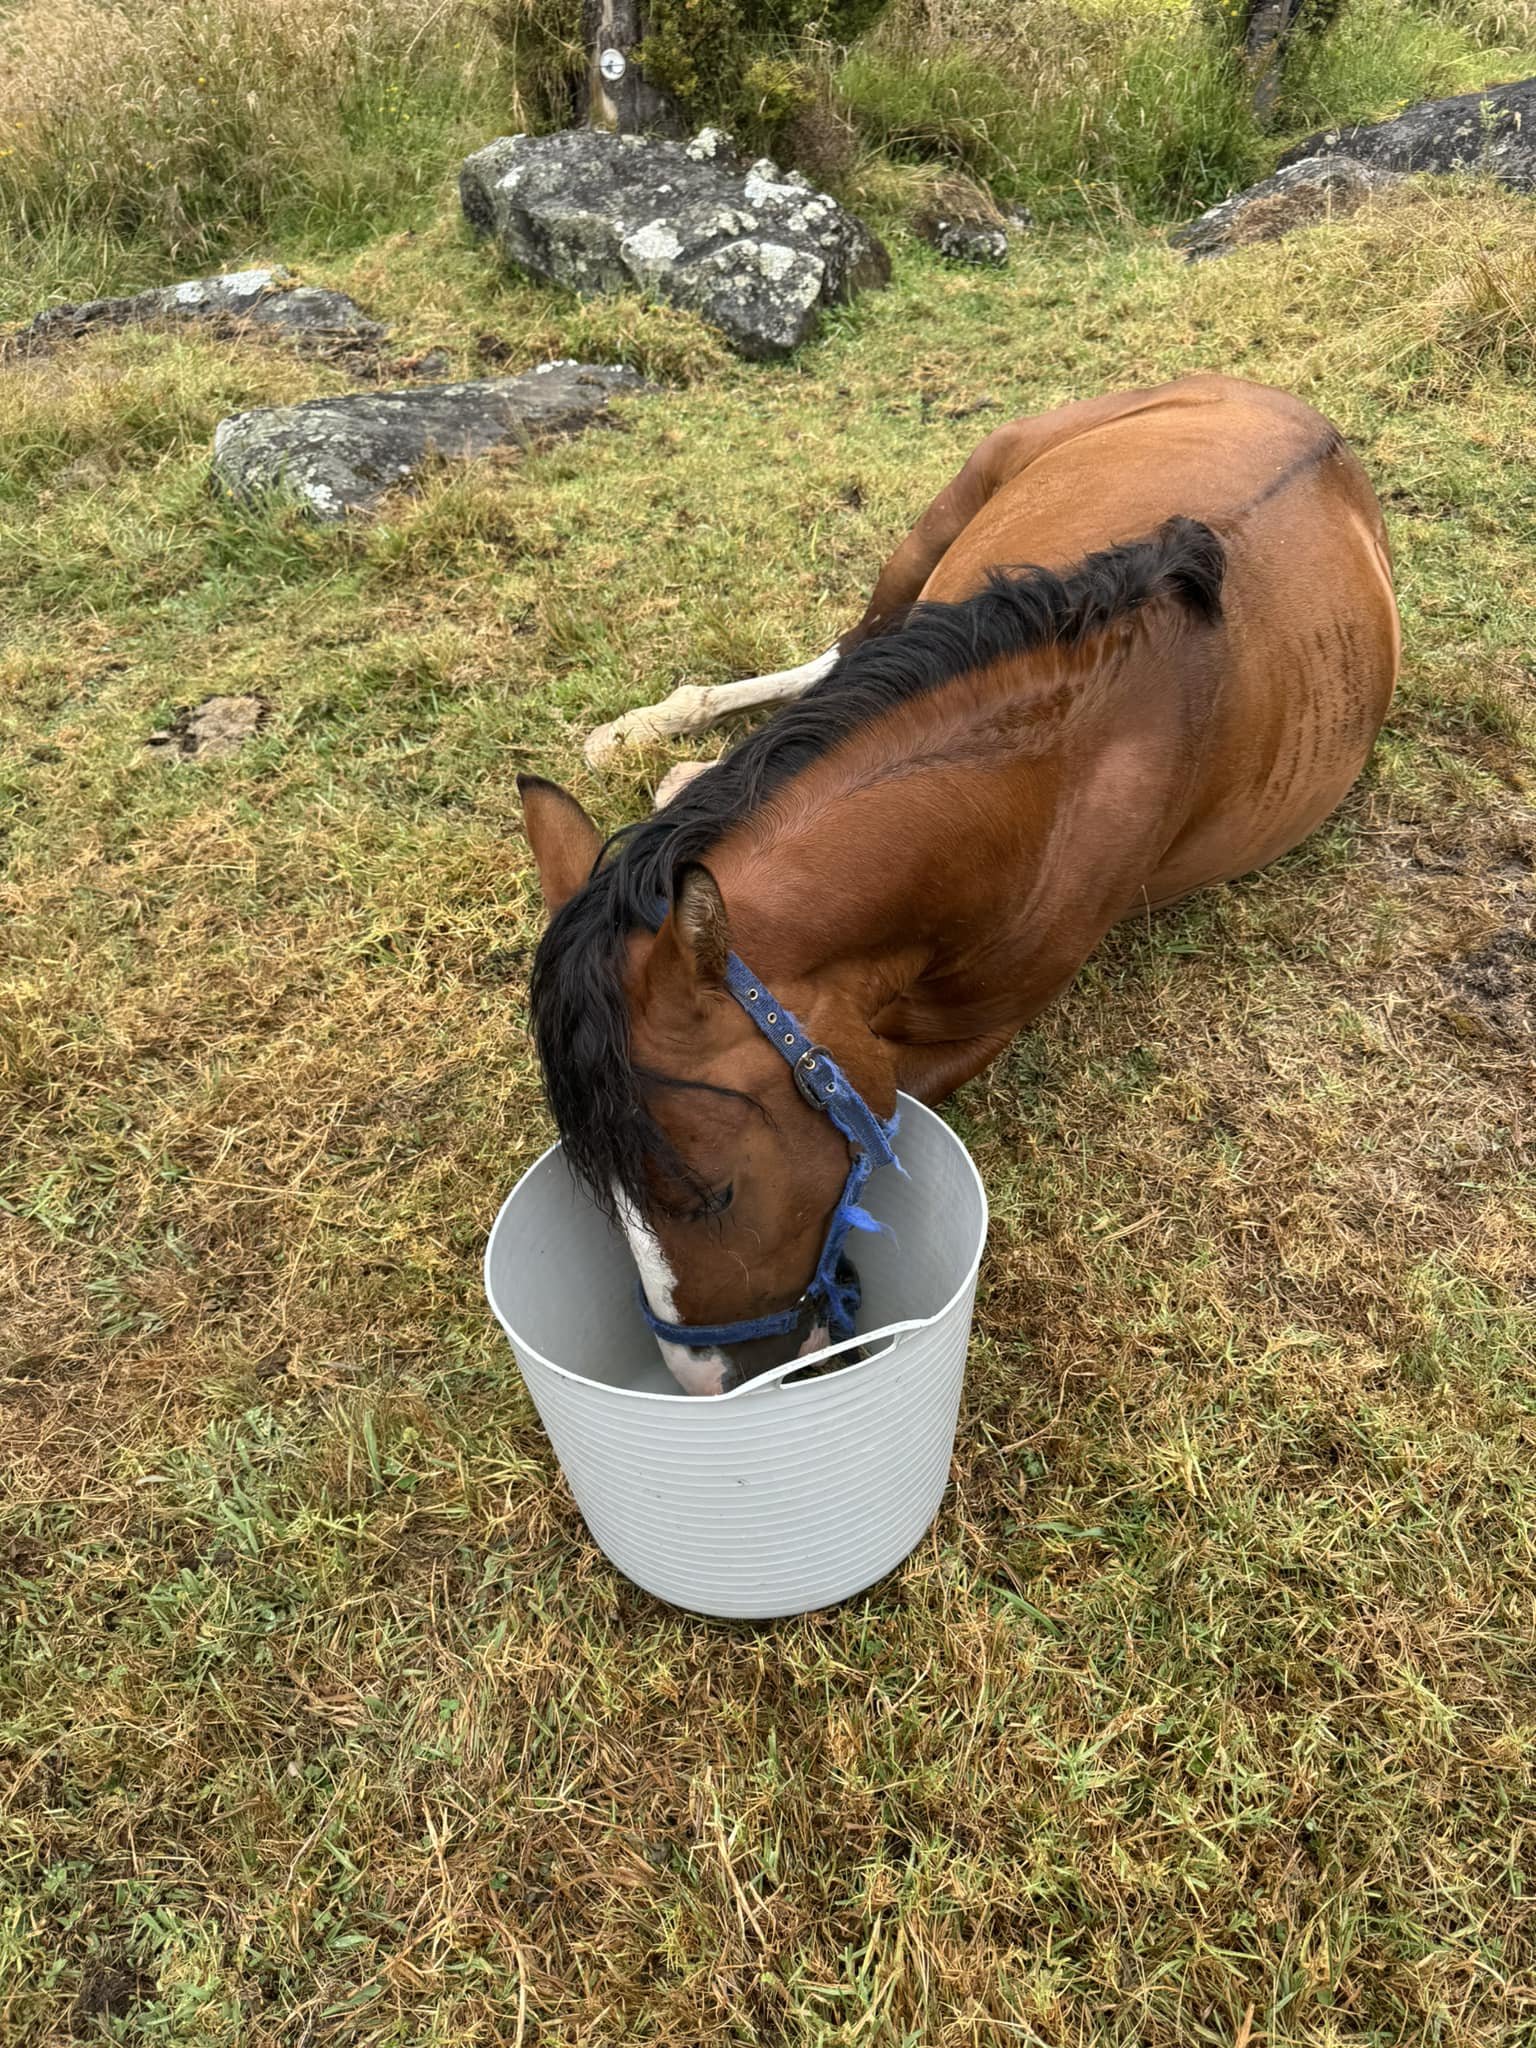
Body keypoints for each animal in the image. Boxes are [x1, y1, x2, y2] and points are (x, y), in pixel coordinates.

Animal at [518, 373, 1400, 1396]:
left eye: (712, 1195)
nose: (704, 1384)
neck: (1046, 786)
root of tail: (1304, 417)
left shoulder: (972, 1034)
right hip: (951, 513)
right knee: (849, 649)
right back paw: (654, 738)